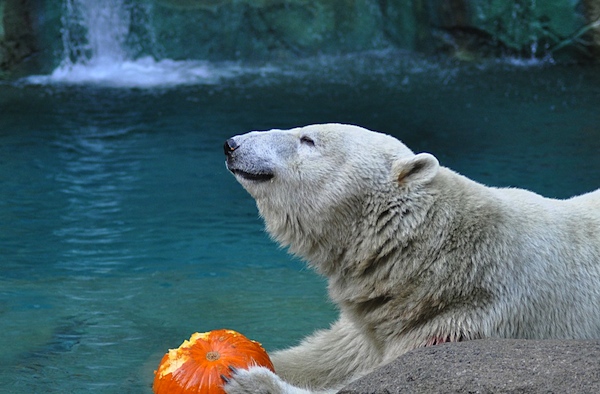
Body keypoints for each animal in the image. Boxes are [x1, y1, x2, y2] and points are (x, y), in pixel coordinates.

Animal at [221, 124, 600, 394]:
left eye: (308, 139)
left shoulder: (462, 322)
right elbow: (323, 356)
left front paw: (248, 381)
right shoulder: (373, 321)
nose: (233, 143)